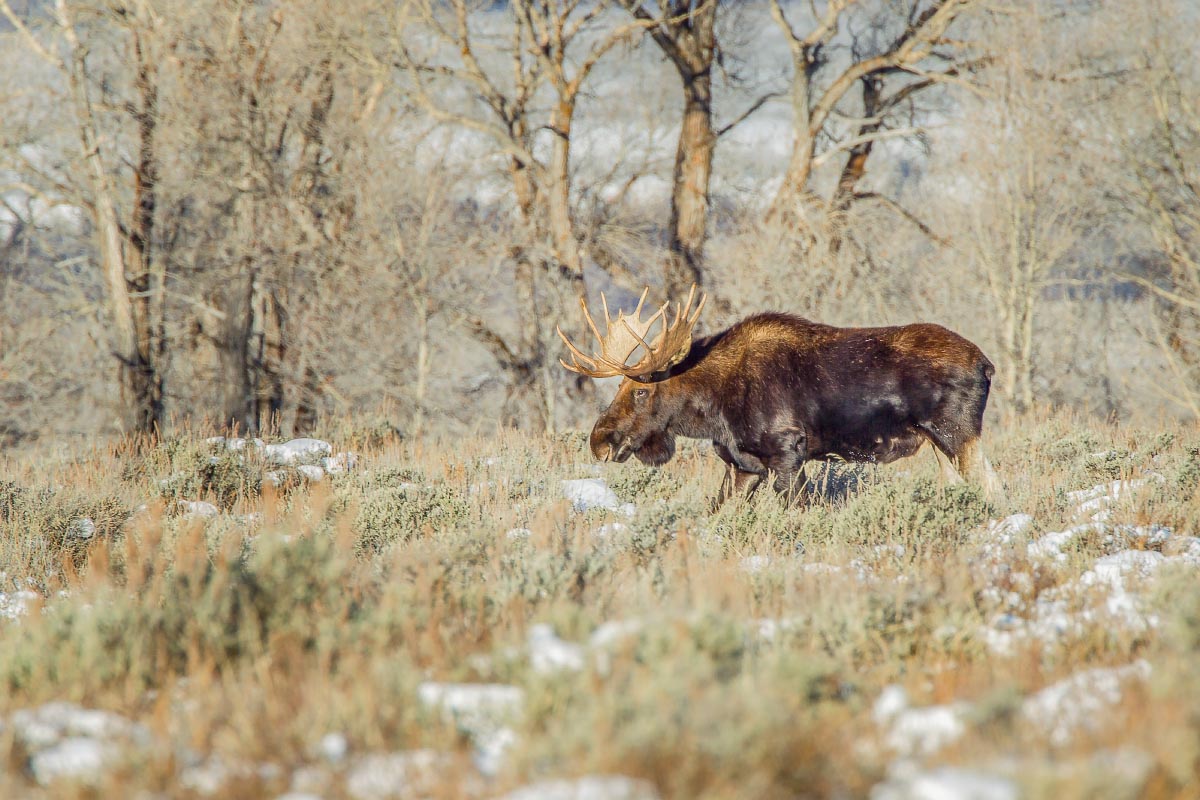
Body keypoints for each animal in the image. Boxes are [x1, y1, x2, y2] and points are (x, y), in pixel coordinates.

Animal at [556, 284, 998, 503]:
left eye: (640, 392)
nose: (600, 441)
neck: (713, 408)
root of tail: (987, 365)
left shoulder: (788, 451)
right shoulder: (743, 464)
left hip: (957, 435)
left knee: (990, 486)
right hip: (939, 443)